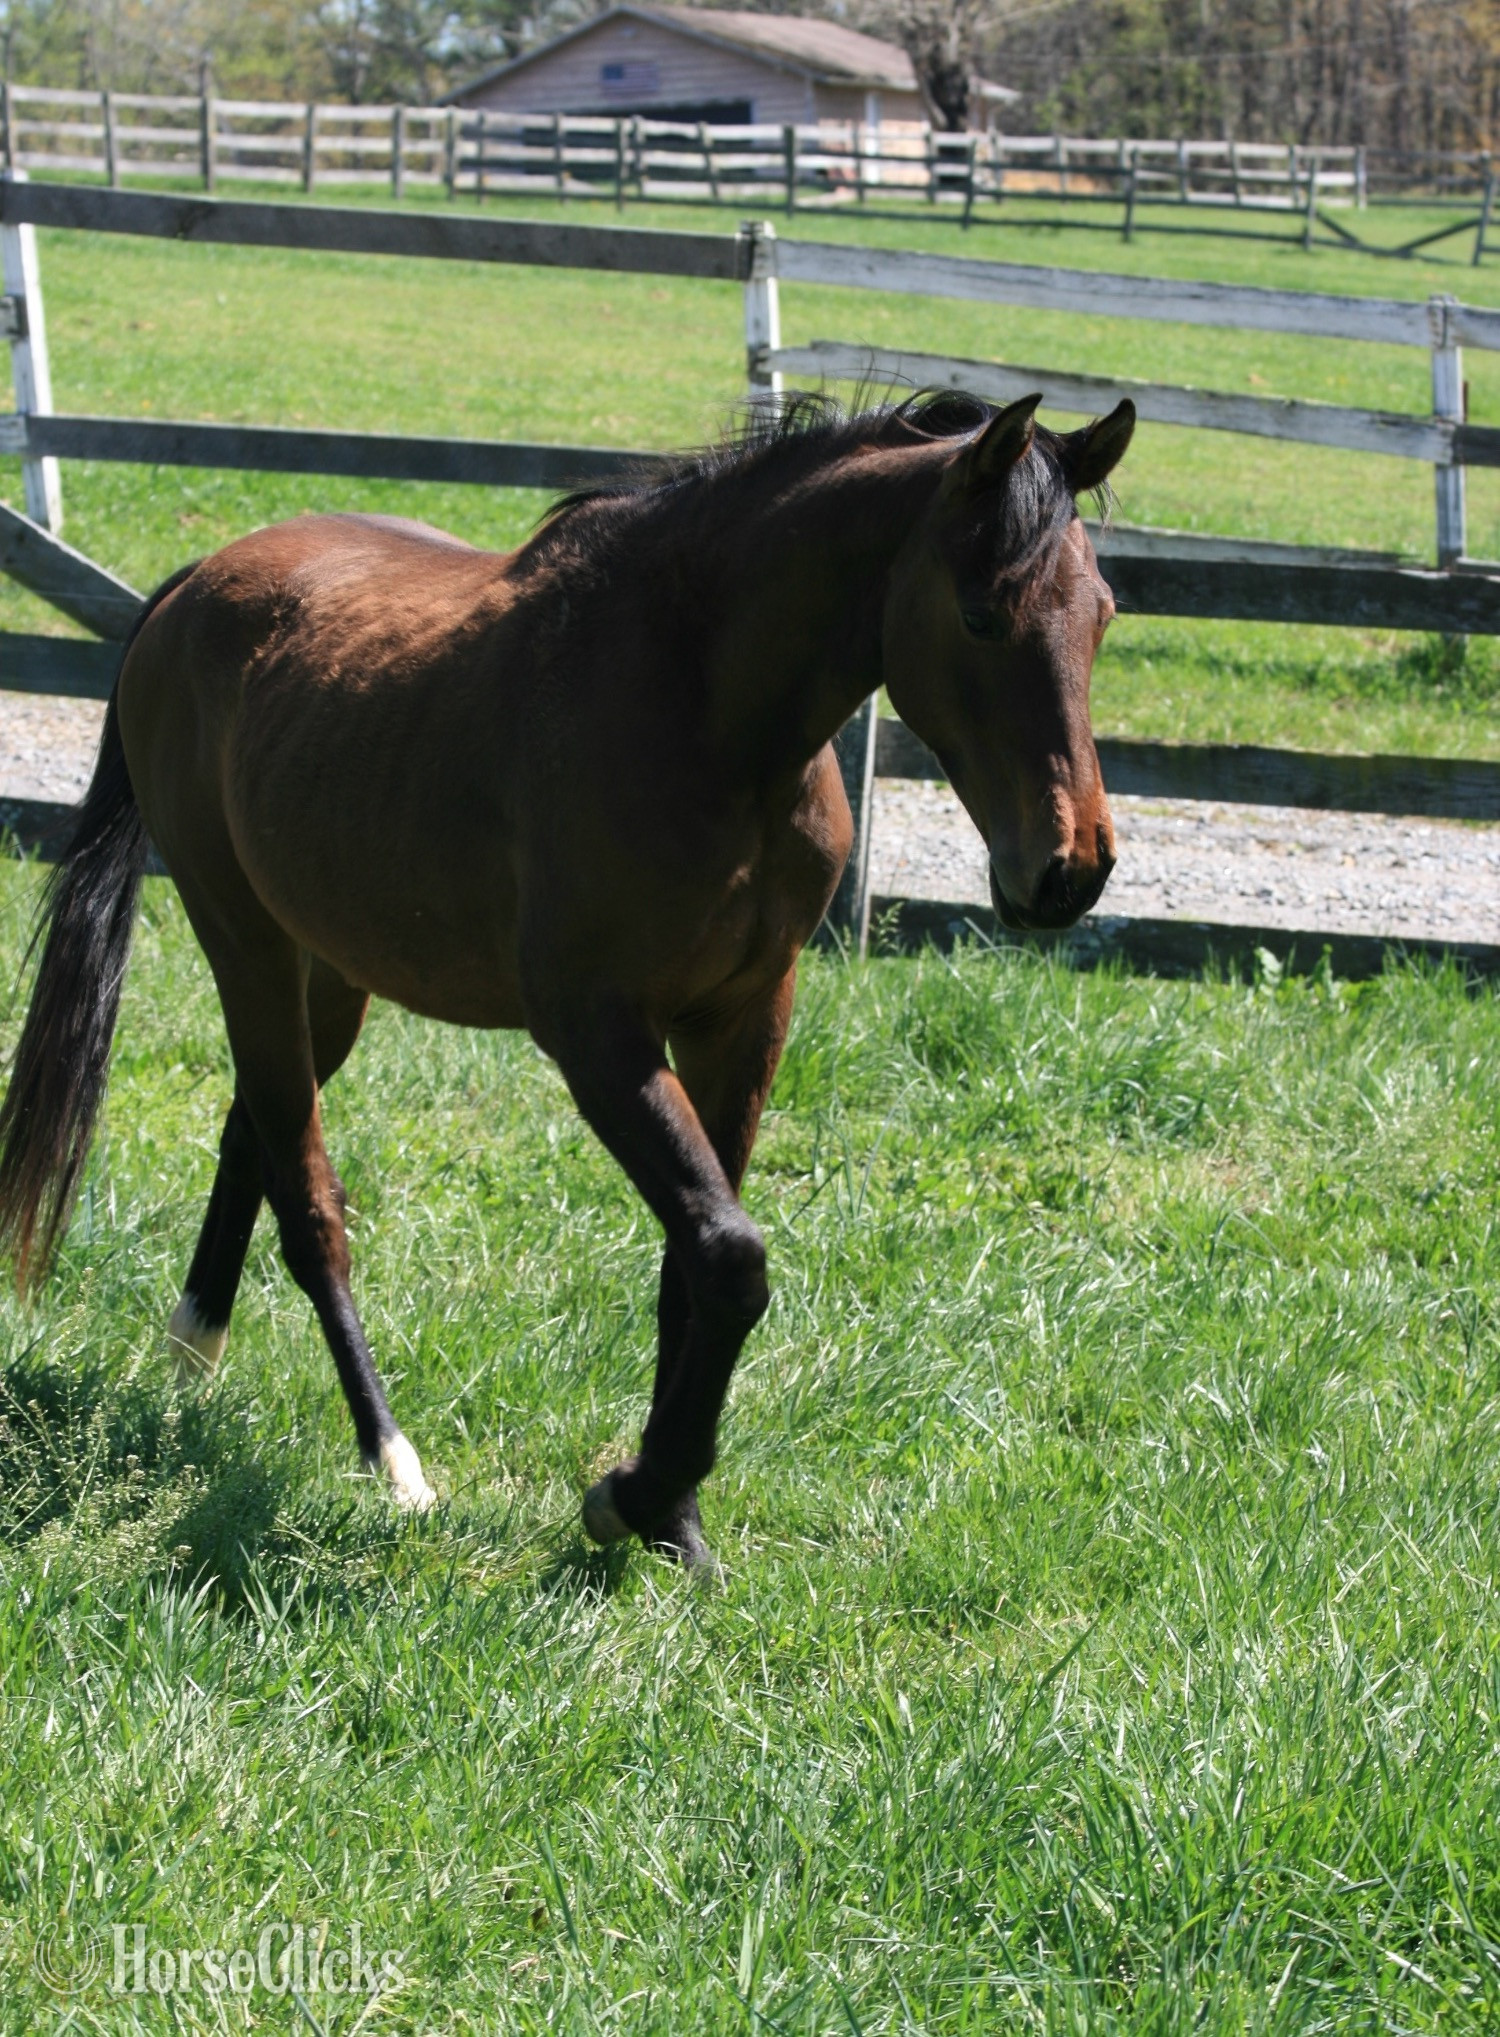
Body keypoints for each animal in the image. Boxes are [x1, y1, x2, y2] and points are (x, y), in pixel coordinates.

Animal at [0, 387, 1133, 1569]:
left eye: (1102, 614)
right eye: (981, 617)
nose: (1073, 869)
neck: (701, 708)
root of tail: (187, 590)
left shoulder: (744, 1020)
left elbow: (695, 1270)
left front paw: (674, 1524)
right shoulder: (597, 1035)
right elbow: (730, 1255)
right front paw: (633, 1494)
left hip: (331, 973)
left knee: (252, 1134)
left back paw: (193, 1351)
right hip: (247, 946)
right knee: (309, 1205)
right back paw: (390, 1459)